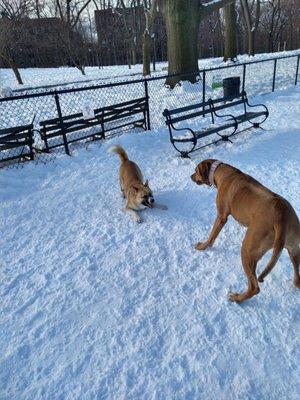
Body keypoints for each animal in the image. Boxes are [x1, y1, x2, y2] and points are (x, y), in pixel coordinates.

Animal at [191, 159, 298, 304]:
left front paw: (203, 246)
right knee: (297, 278)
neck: (220, 171)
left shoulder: (221, 216)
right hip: (294, 248)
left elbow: (212, 235)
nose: (190, 177)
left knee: (254, 287)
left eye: (196, 171)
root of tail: (281, 218)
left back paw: (237, 298)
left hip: (248, 250)